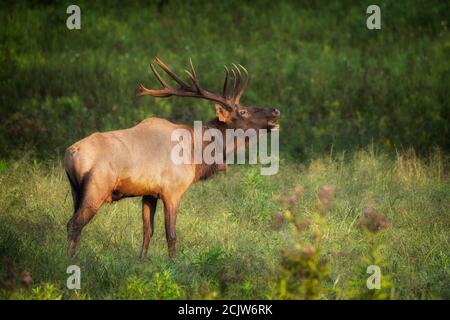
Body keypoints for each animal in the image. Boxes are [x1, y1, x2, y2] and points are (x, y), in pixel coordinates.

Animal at [64, 57, 280, 258]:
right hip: (97, 188)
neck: (197, 156)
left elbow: (147, 231)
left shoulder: (149, 193)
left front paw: (141, 261)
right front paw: (173, 263)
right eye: (243, 111)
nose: (275, 110)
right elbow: (171, 234)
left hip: (76, 190)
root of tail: (71, 153)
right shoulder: (173, 190)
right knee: (74, 224)